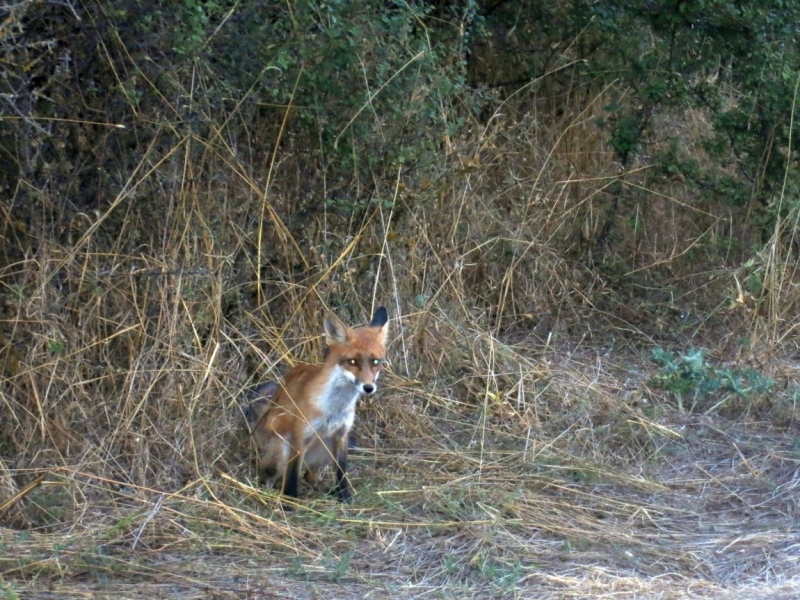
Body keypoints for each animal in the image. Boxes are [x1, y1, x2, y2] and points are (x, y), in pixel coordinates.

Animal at [247, 310, 390, 502]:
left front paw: (344, 497)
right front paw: (290, 501)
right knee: (269, 479)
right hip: (281, 451)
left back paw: (325, 489)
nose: (368, 388)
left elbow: (342, 472)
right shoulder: (300, 437)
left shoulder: (342, 434)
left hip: (326, 446)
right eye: (352, 362)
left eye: (376, 362)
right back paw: (272, 493)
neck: (334, 408)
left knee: (309, 476)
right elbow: (292, 477)